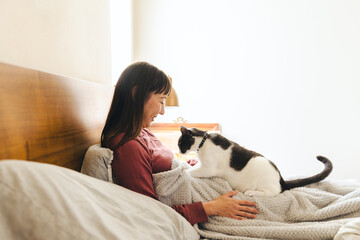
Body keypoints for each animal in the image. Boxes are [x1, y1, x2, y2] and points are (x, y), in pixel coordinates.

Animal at [179, 126, 334, 196]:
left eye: (180, 143)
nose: (180, 151)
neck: (203, 142)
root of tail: (280, 178)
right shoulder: (202, 165)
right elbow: (191, 167)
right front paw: (184, 164)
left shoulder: (208, 168)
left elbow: (191, 172)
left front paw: (183, 170)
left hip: (261, 171)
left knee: (273, 192)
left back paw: (250, 192)